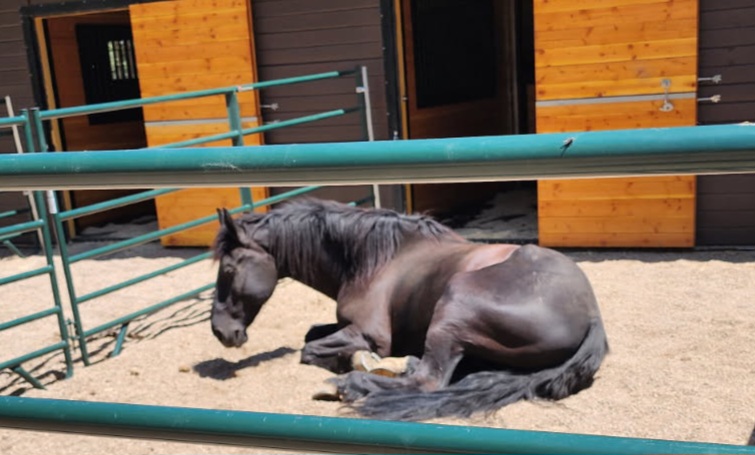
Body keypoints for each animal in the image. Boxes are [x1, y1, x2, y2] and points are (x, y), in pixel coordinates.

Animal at [210, 198, 608, 421]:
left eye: (228, 269)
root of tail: (592, 316)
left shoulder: (368, 334)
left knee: (429, 380)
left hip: (455, 303)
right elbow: (311, 333)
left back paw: (355, 383)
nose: (220, 332)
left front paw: (357, 364)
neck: (373, 258)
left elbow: (309, 350)